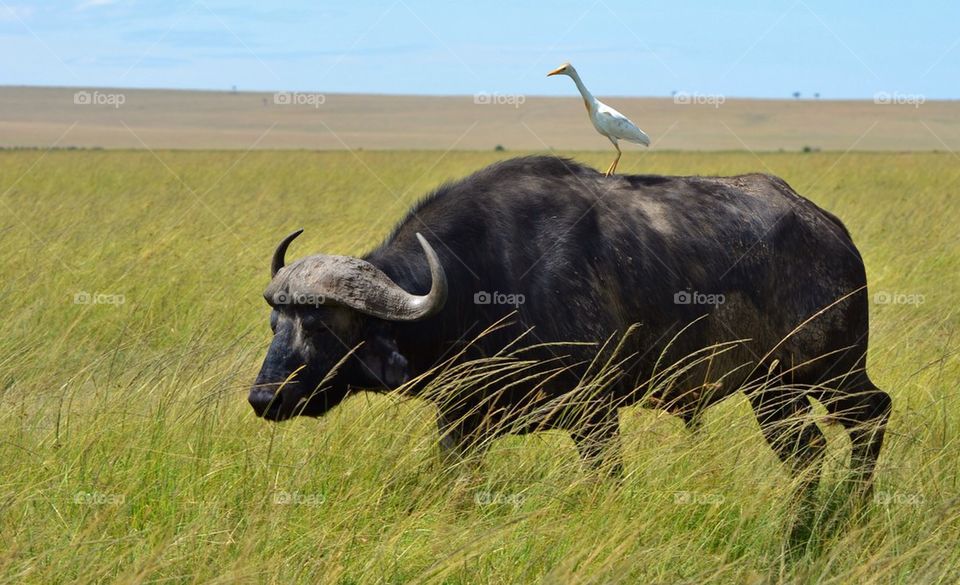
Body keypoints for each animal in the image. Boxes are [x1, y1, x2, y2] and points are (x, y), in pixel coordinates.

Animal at [249, 157, 892, 504]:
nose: (264, 398)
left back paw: (851, 510)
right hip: (773, 390)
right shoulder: (461, 421)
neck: (479, 280)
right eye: (277, 321)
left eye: (323, 323)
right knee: (808, 452)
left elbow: (606, 479)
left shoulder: (595, 412)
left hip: (828, 370)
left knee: (871, 415)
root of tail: (830, 231)